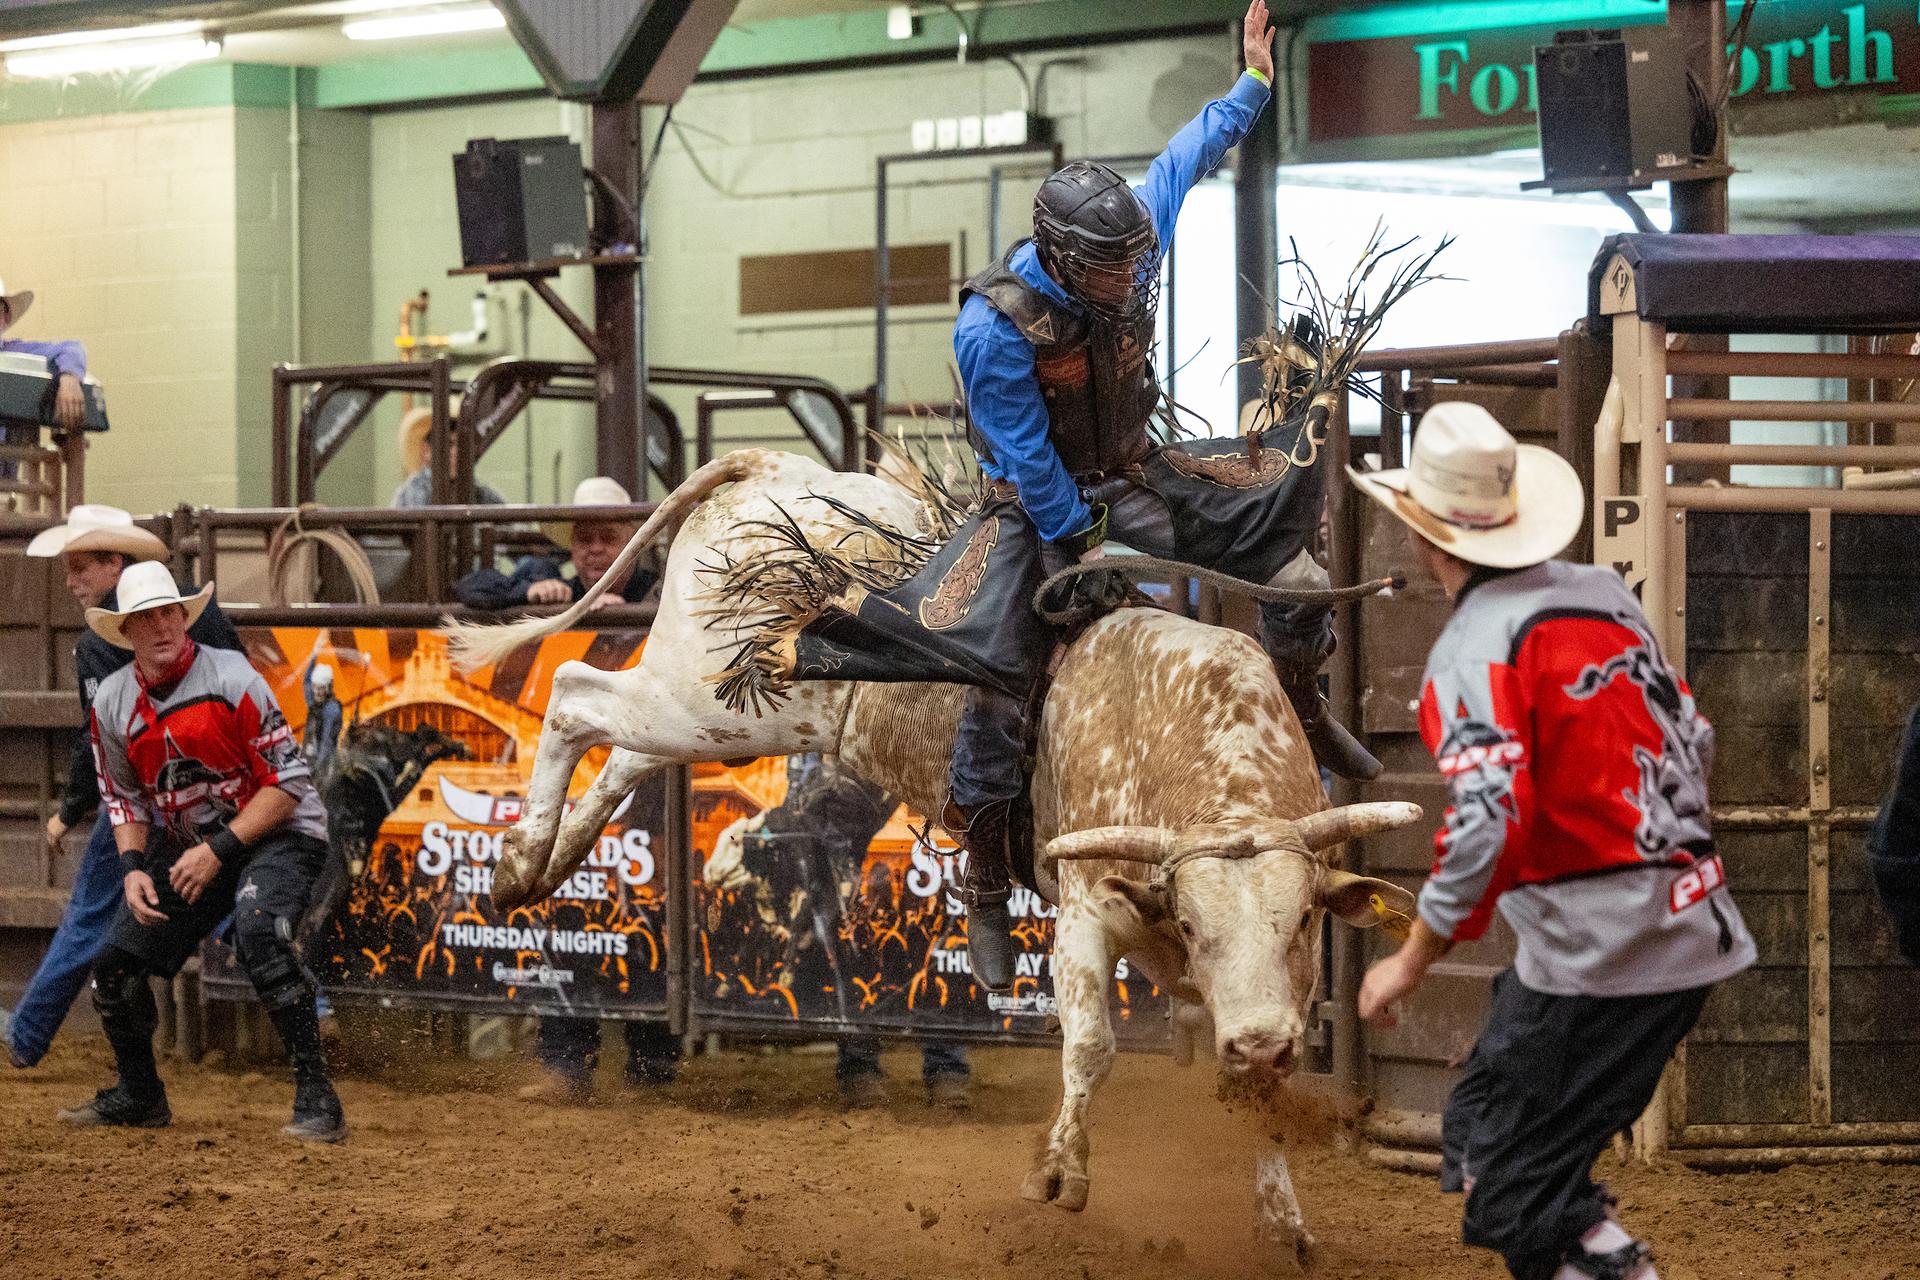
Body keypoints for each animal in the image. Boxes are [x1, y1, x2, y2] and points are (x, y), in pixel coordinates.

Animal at [441, 449, 1420, 1251]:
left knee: (624, 748)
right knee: (576, 694)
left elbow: (1257, 1093)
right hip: (709, 694)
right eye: (1190, 922)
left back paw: (547, 861)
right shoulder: (1084, 912)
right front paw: (1058, 1174)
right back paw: (519, 862)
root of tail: (775, 466)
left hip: (724, 710)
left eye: (1302, 926)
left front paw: (1282, 1219)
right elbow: (1091, 1046)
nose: (1256, 1043)